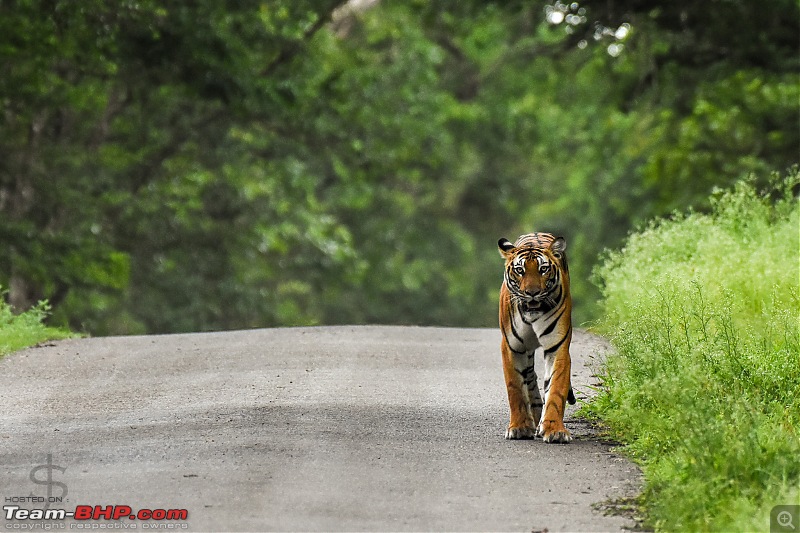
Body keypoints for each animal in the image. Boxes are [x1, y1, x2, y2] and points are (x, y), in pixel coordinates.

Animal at [496, 231, 572, 442]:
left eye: (543, 269)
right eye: (520, 270)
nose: (532, 293)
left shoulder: (557, 347)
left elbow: (555, 389)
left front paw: (554, 430)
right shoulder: (512, 347)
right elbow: (515, 388)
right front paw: (519, 427)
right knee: (529, 376)